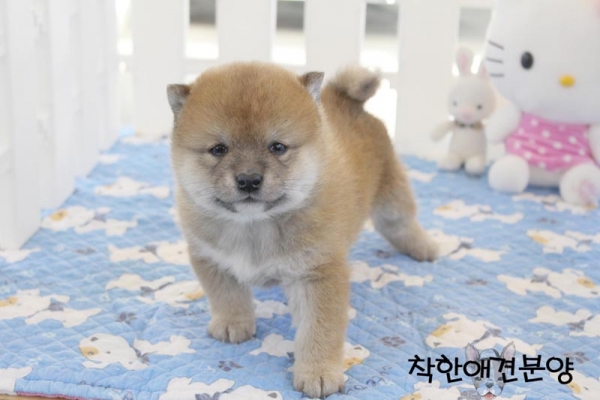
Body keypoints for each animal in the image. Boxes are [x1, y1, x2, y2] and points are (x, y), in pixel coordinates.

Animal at [166, 62, 438, 396]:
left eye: (277, 147)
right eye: (218, 149)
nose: (248, 179)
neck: (253, 228)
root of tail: (347, 100)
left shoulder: (317, 274)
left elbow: (318, 330)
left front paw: (318, 372)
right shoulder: (210, 258)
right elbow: (226, 296)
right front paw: (233, 323)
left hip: (390, 198)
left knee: (402, 224)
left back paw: (424, 247)